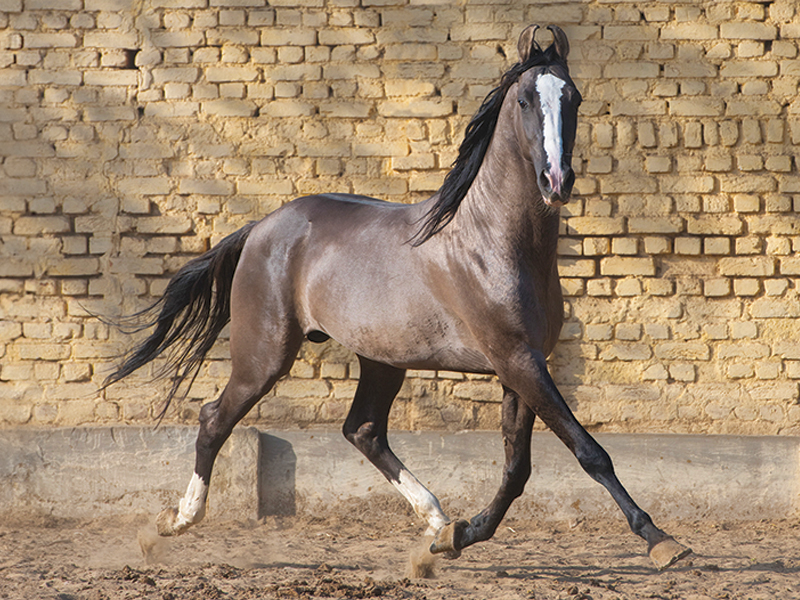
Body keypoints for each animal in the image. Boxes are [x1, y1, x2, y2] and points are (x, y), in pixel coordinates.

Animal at [106, 25, 691, 571]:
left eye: (574, 97)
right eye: (526, 99)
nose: (556, 180)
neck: (495, 241)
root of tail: (261, 228)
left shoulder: (522, 365)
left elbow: (516, 468)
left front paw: (459, 536)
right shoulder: (517, 361)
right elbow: (587, 452)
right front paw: (662, 541)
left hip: (381, 360)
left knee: (363, 430)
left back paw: (435, 520)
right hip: (264, 355)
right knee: (214, 420)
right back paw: (174, 522)